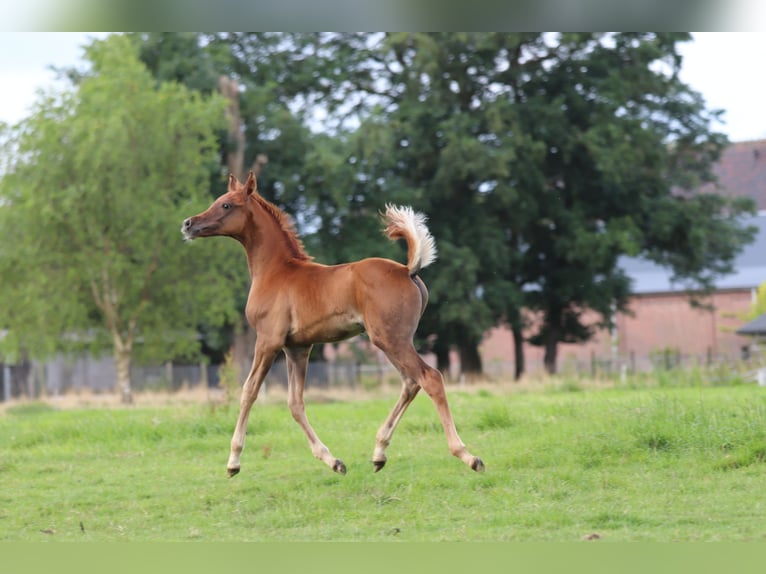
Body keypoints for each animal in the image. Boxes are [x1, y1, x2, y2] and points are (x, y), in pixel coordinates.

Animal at [182, 171, 484, 476]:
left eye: (227, 205)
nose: (188, 224)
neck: (276, 271)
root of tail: (406, 270)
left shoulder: (268, 340)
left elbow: (249, 391)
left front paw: (233, 461)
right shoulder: (298, 348)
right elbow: (295, 403)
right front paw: (333, 461)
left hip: (391, 339)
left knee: (429, 378)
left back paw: (468, 456)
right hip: (392, 341)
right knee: (411, 383)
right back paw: (379, 453)